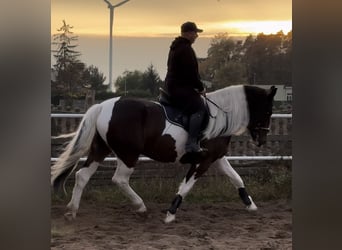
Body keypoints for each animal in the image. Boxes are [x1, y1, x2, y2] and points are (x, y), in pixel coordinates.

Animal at [51, 84, 278, 223]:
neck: (220, 118)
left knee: (82, 176)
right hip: (128, 154)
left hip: (101, 149)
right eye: (268, 111)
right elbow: (186, 186)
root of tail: (103, 106)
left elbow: (237, 179)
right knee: (119, 179)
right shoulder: (203, 161)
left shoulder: (217, 158)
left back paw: (72, 210)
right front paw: (170, 214)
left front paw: (251, 205)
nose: (262, 140)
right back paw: (140, 206)